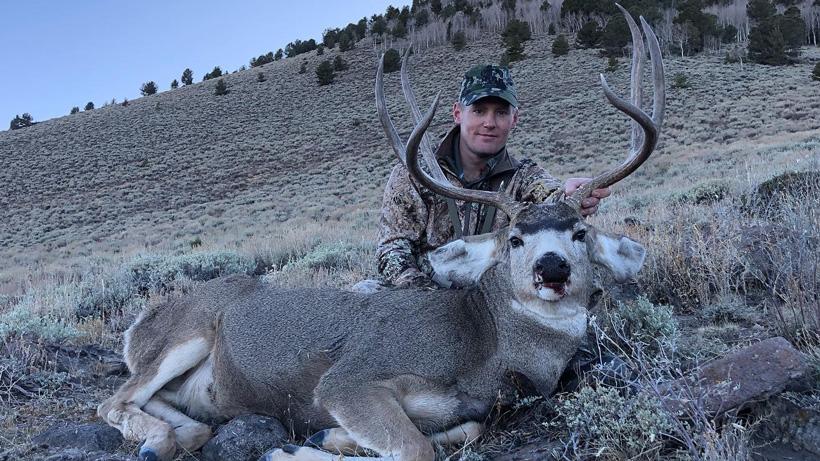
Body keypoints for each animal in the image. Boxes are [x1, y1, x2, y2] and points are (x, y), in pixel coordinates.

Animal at [97, 6, 664, 461]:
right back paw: (157, 441)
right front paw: (290, 450)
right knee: (112, 401)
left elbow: (467, 429)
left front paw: (322, 439)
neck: (484, 347)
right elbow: (415, 448)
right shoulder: (349, 379)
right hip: (183, 333)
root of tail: (140, 322)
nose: (552, 268)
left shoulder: (469, 410)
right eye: (515, 239)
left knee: (171, 415)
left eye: (580, 232)